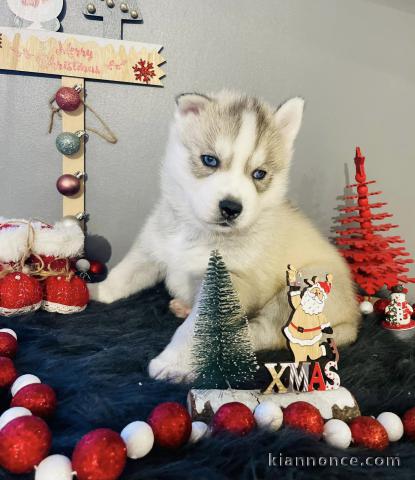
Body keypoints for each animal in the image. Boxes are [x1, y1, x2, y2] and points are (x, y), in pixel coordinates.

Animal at [88, 91, 360, 382]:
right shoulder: (151, 249)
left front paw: (173, 362)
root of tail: (354, 319)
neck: (198, 232)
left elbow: (194, 329)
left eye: (259, 174)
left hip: (301, 286)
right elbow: (121, 277)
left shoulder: (228, 283)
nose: (231, 208)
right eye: (210, 160)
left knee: (265, 333)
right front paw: (93, 291)